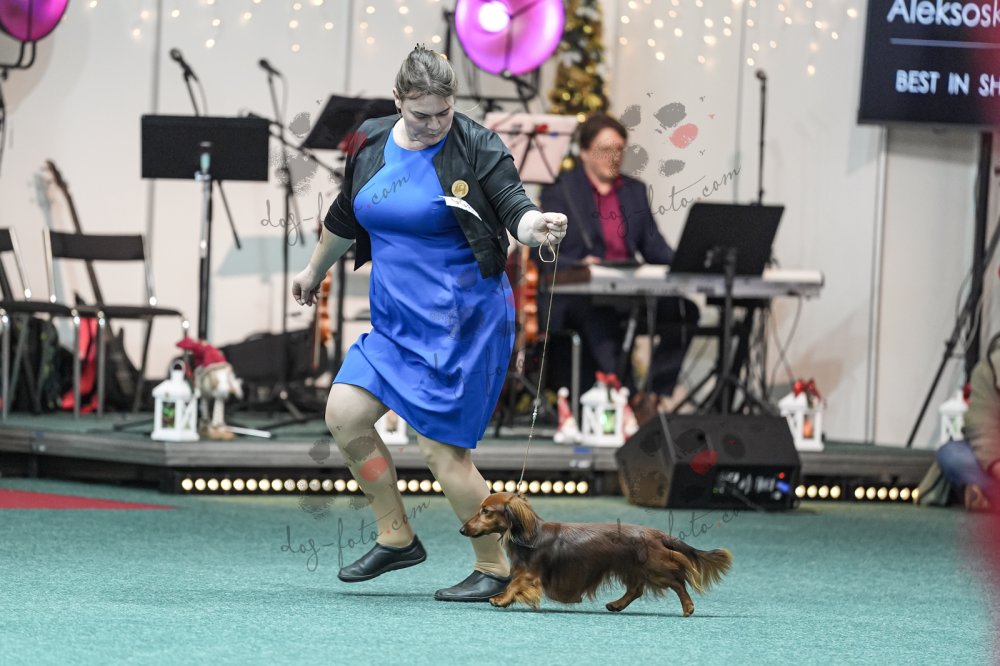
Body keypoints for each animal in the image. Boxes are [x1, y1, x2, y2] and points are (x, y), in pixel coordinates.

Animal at [460, 492, 732, 615]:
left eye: (486, 511)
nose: (462, 530)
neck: (529, 534)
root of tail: (656, 533)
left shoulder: (530, 573)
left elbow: (514, 584)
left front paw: (500, 599)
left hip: (655, 567)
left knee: (678, 581)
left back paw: (688, 607)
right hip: (631, 568)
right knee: (636, 589)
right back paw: (616, 605)